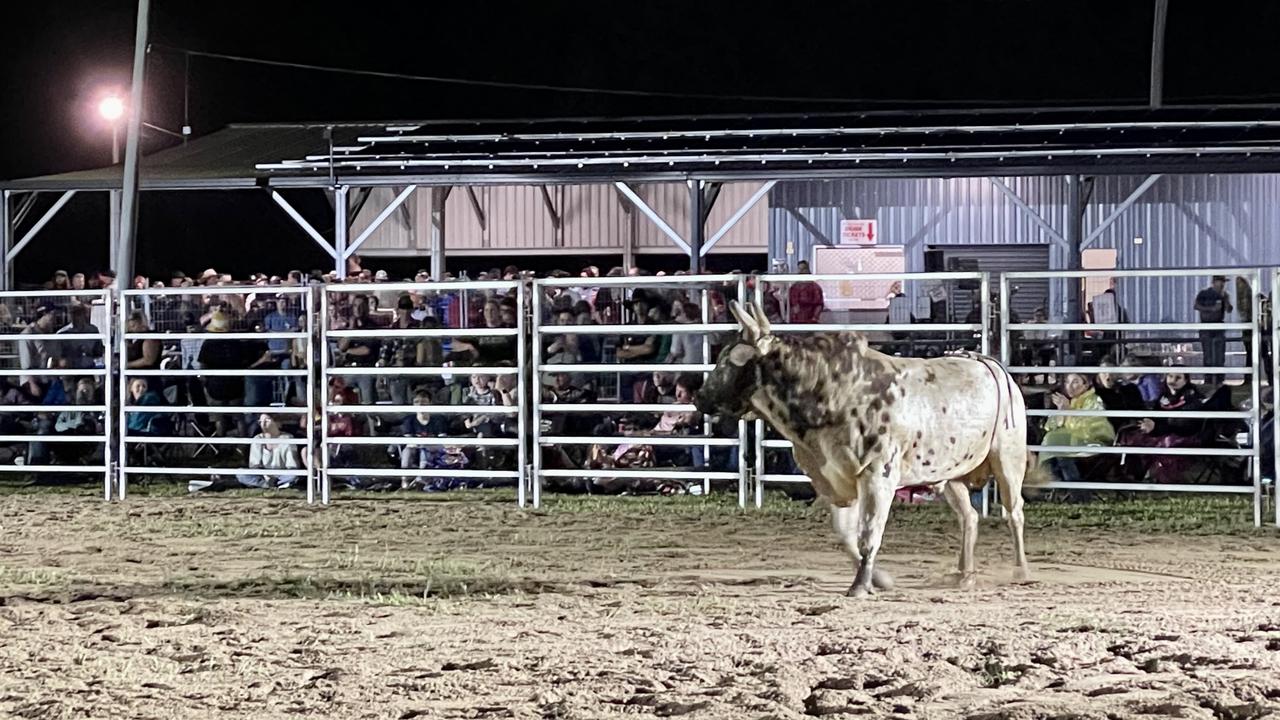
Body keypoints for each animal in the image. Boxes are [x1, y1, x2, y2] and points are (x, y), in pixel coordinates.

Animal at [696, 298, 1034, 594]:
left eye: (727, 361)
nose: (700, 398)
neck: (829, 392)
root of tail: (989, 363)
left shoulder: (877, 475)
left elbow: (869, 533)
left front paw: (860, 585)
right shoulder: (836, 478)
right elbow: (846, 535)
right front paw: (880, 579)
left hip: (1008, 458)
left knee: (1014, 512)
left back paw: (1021, 572)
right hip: (948, 475)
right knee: (970, 517)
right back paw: (964, 575)